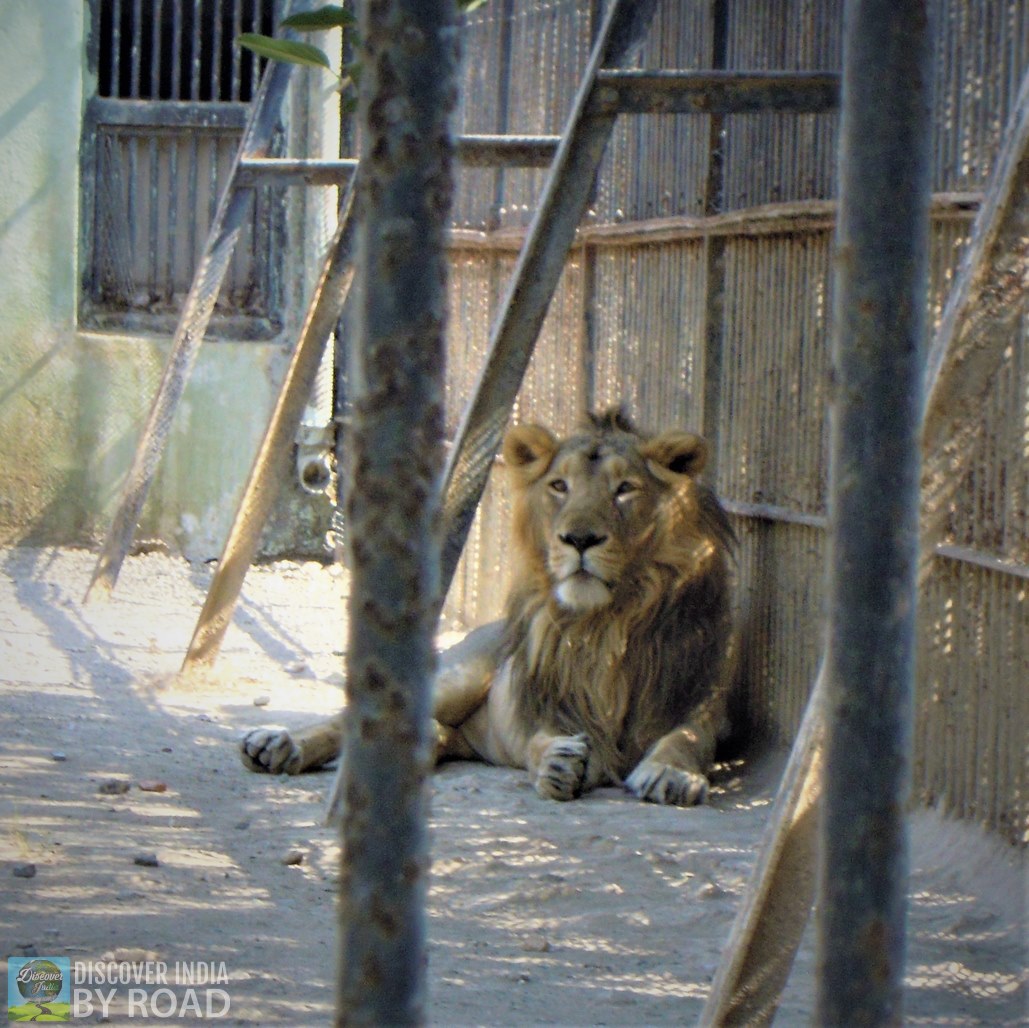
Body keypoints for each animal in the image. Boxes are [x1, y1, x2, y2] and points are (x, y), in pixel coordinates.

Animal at [240, 407, 740, 802]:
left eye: (624, 488)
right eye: (560, 485)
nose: (578, 539)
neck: (608, 622)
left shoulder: (702, 697)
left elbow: (688, 738)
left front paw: (670, 772)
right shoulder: (540, 698)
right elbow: (540, 738)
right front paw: (557, 761)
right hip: (460, 674)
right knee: (351, 720)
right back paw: (278, 745)